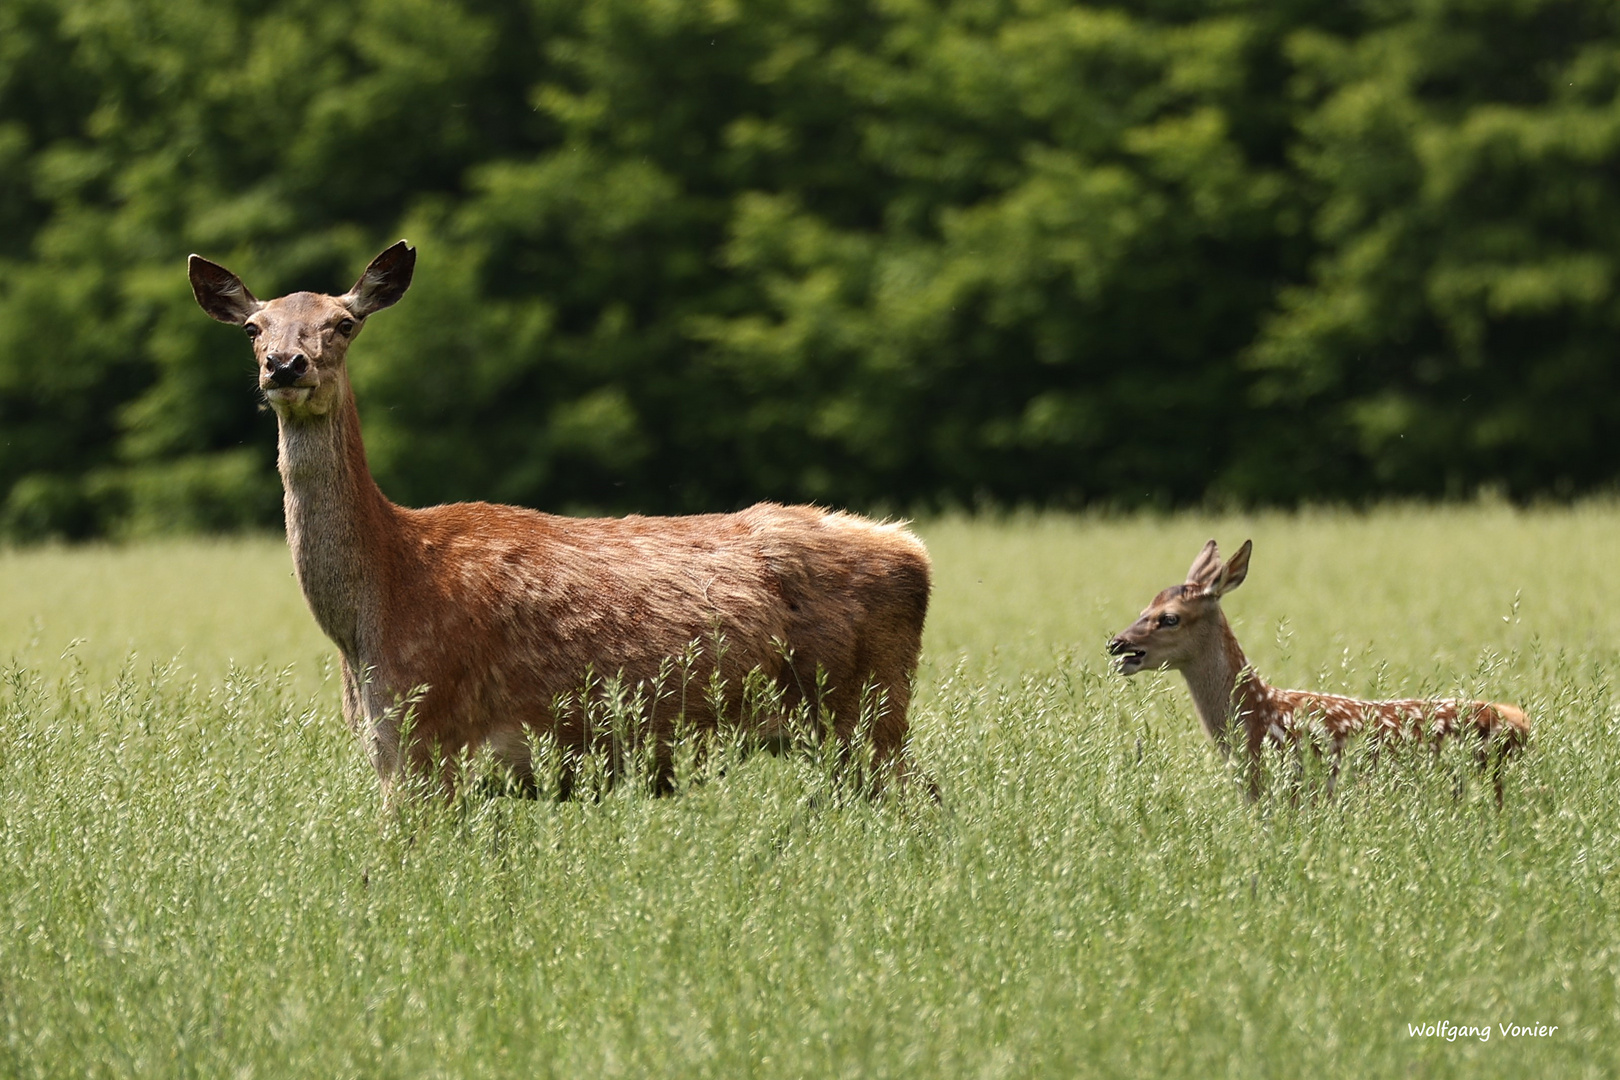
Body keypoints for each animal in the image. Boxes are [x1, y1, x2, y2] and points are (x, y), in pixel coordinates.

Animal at [187, 244, 933, 799]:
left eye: (344, 322)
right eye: (254, 327)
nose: (286, 365)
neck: (375, 603)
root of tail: (914, 548)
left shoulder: (426, 732)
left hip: (867, 709)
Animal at [1108, 537, 1522, 803]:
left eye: (1170, 618)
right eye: (1145, 606)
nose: (1117, 644)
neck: (1258, 716)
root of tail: (1521, 720)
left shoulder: (1292, 793)